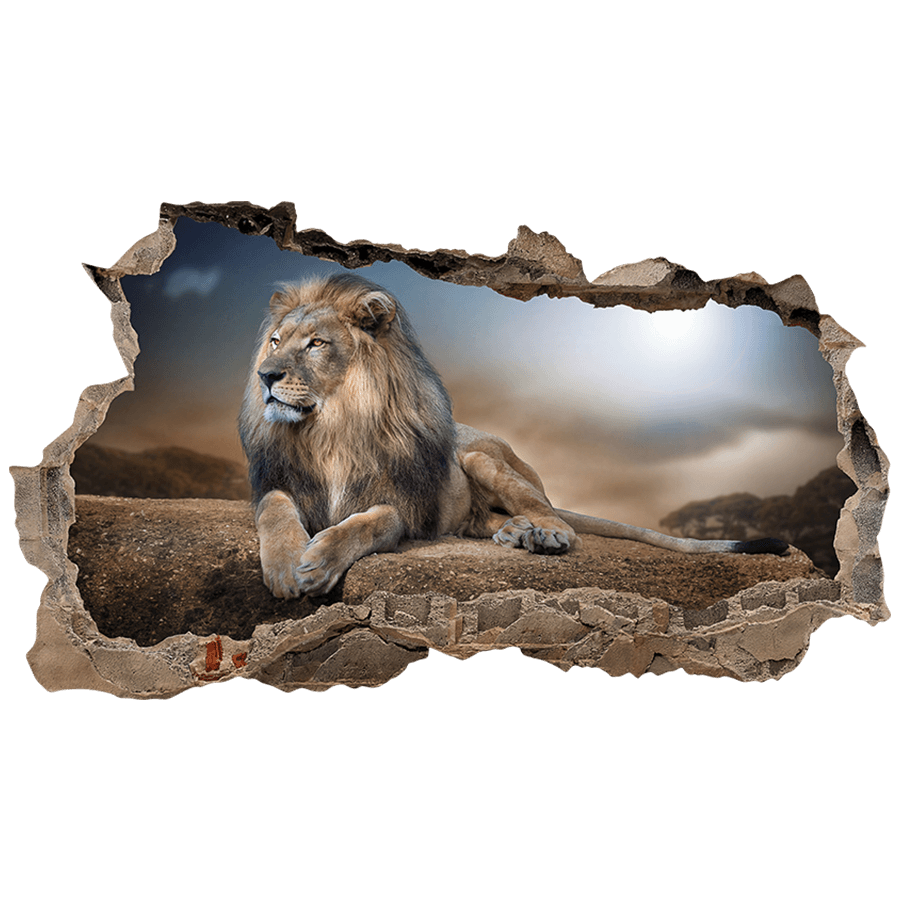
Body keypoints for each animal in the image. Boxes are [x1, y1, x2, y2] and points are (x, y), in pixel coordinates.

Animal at [239, 273, 788, 599]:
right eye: (274, 341)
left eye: (315, 344)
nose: (265, 375)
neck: (330, 428)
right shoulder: (280, 483)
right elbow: (276, 509)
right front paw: (286, 566)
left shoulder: (406, 507)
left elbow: (368, 523)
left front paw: (318, 562)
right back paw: (514, 533)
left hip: (482, 458)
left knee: (552, 515)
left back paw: (544, 534)